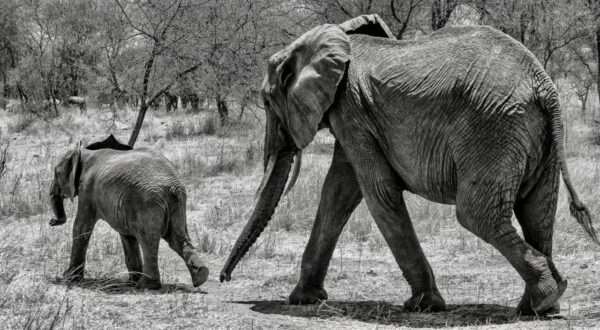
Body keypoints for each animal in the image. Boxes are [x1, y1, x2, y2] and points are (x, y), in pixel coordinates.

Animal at [49, 134, 209, 288]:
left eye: (56, 173)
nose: (52, 221)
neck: (85, 152)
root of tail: (172, 185)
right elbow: (127, 236)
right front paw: (131, 281)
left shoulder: (87, 191)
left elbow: (81, 228)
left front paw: (69, 278)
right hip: (176, 203)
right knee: (177, 238)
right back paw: (200, 276)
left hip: (148, 202)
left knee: (148, 240)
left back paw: (147, 285)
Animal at [220, 14, 600, 314]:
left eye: (266, 101)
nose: (223, 279)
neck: (334, 37)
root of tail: (543, 84)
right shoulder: (354, 117)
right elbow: (339, 192)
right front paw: (303, 299)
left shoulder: (352, 109)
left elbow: (376, 192)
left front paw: (423, 305)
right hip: (534, 135)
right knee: (538, 211)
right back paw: (540, 307)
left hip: (493, 127)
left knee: (476, 214)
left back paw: (543, 299)